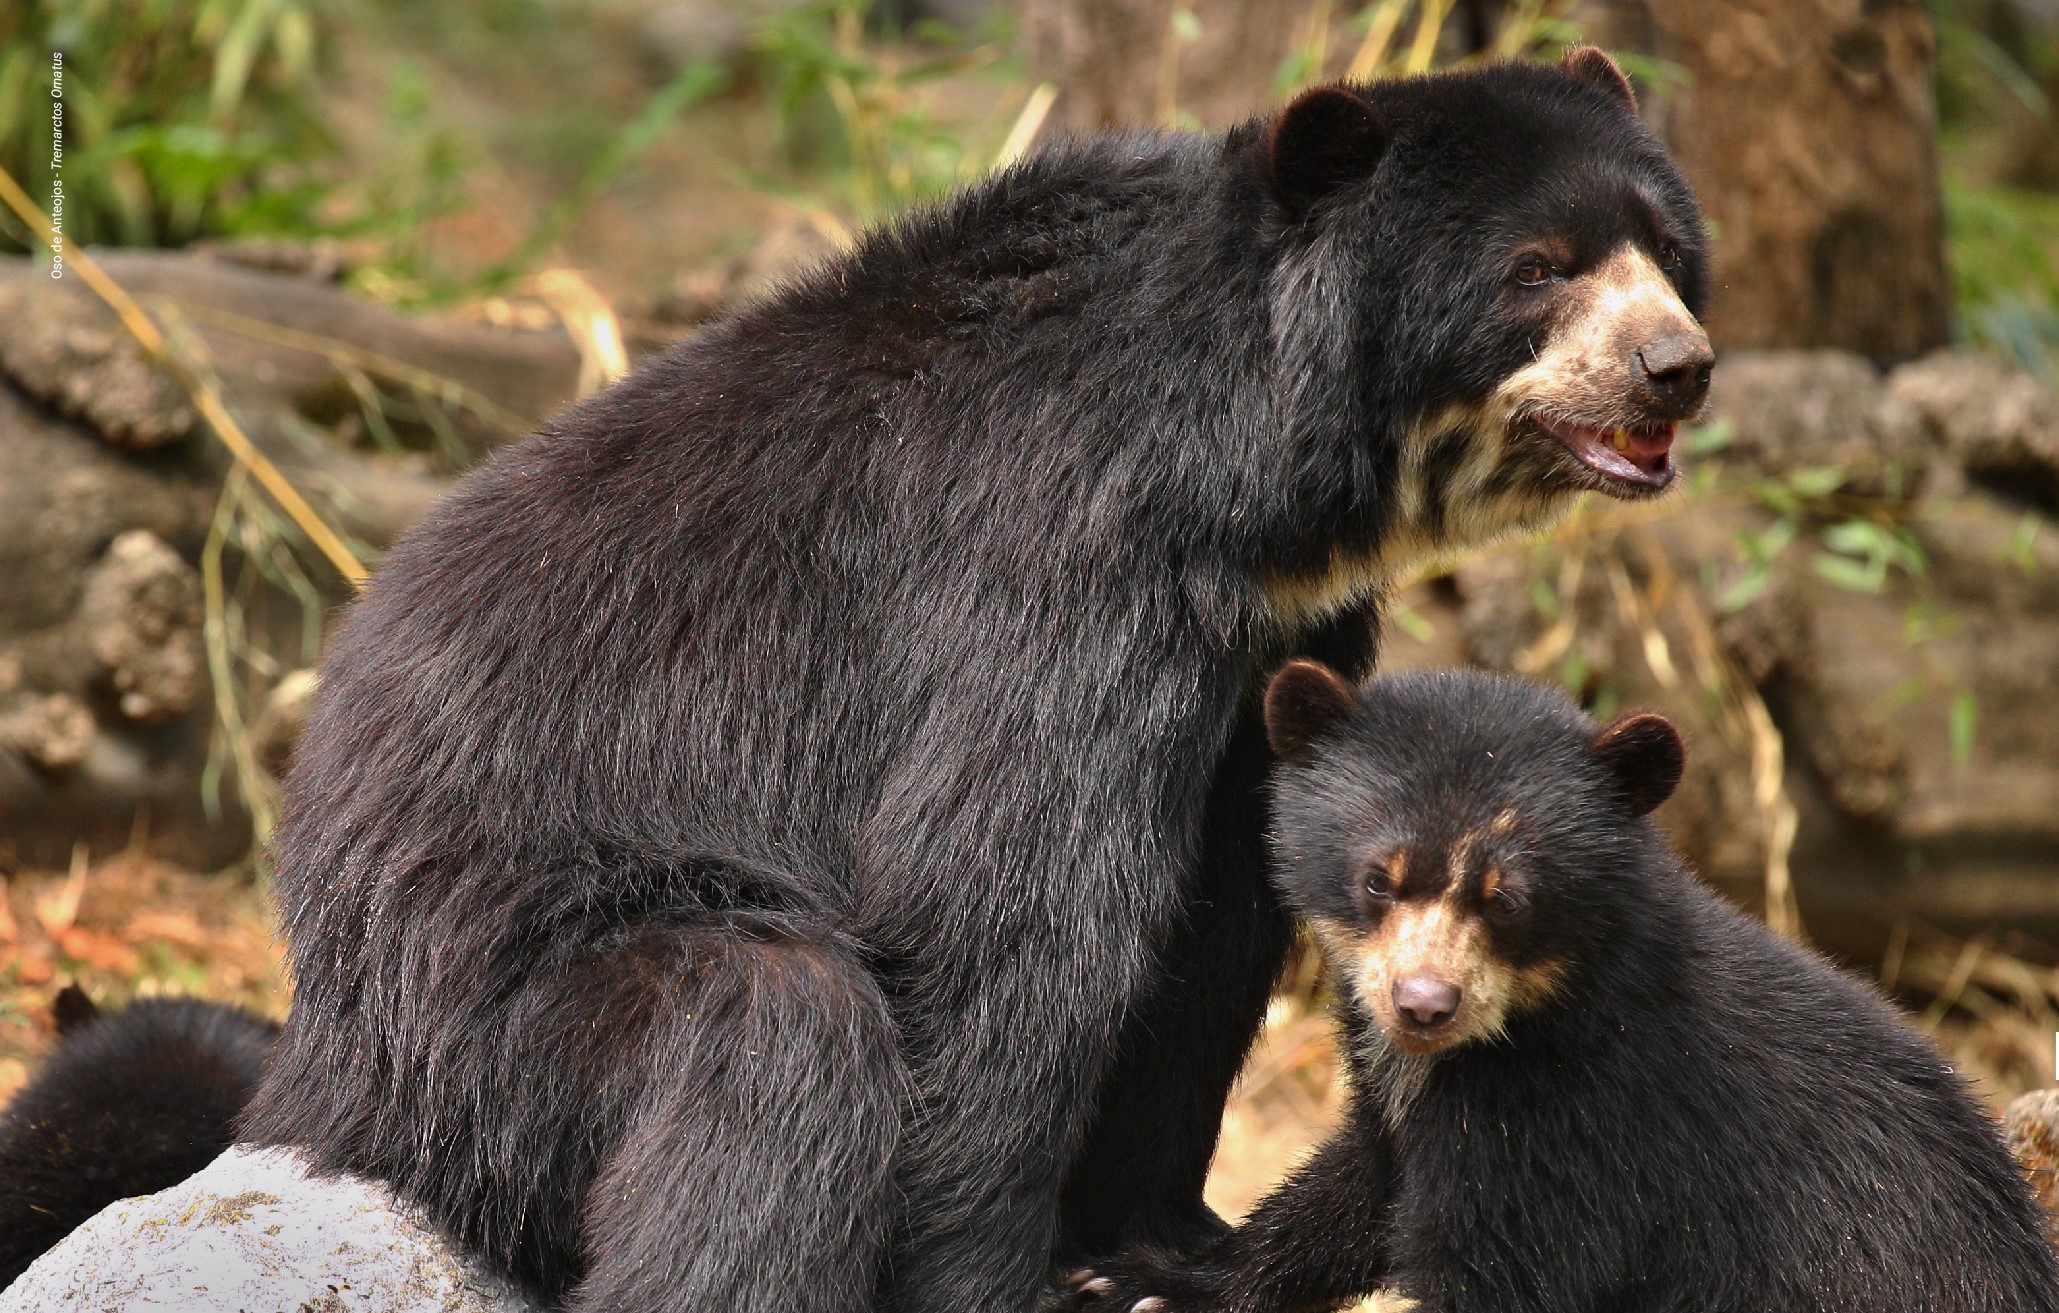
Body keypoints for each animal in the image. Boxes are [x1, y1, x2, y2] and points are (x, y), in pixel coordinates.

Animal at [234, 50, 1713, 1313]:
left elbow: (1217, 919)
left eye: (1664, 249)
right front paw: (997, 1275)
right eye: (1535, 269)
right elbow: (1007, 917)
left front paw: (1153, 1249)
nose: (1677, 368)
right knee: (768, 1042)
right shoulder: (1050, 568)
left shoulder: (1269, 637)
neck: (1250, 475)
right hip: (496, 1008)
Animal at [1061, 663, 2059, 1313]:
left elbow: (1502, 1272)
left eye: (1507, 899)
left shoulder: (1586, 1133)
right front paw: (1140, 1279)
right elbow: (1354, 1192)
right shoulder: (1417, 1110)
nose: (1421, 1005)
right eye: (1379, 877)